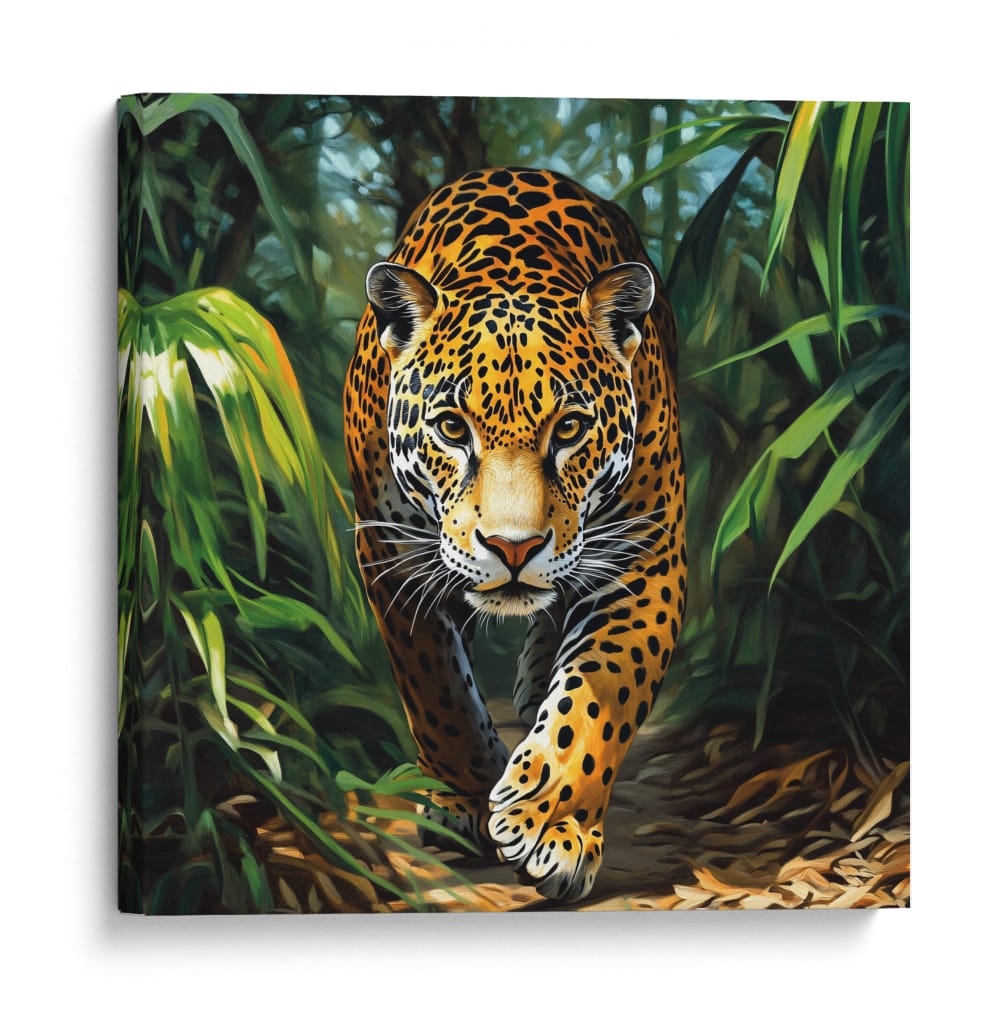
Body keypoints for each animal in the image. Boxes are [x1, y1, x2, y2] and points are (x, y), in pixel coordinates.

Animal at [344, 167, 686, 902]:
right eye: (451, 428)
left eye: (569, 429)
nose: (513, 548)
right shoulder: (392, 557)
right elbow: (438, 692)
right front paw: (467, 798)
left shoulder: (644, 557)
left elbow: (601, 691)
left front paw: (551, 821)